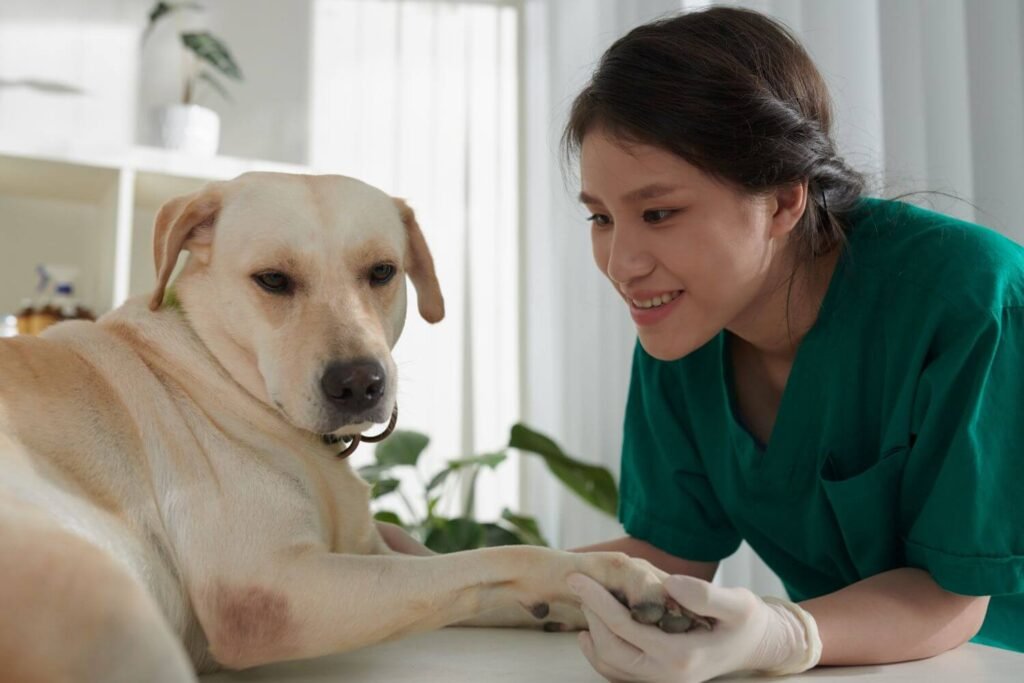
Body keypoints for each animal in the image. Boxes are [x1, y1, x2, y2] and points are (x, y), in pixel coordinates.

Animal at [0, 174, 679, 679]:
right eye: (273, 280)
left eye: (381, 271)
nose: (358, 384)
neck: (223, 373)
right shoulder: (274, 590)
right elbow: (495, 557)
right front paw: (609, 577)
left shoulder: (371, 555)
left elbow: (468, 573)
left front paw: (575, 606)